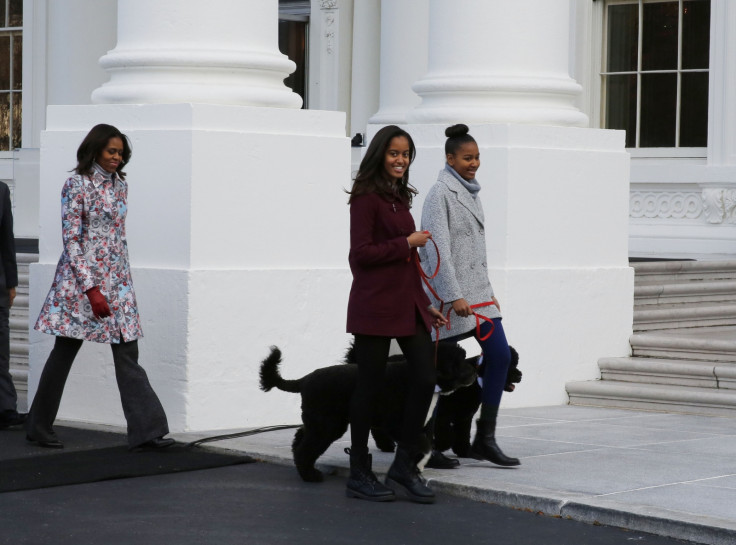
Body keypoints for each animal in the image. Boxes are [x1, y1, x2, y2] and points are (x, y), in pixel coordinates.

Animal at [258, 342, 478, 482]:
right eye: (458, 361)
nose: (475, 372)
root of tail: (304, 380)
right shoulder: (398, 424)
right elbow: (423, 445)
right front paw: (420, 463)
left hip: (324, 423)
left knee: (301, 437)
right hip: (326, 426)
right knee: (305, 450)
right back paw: (310, 476)